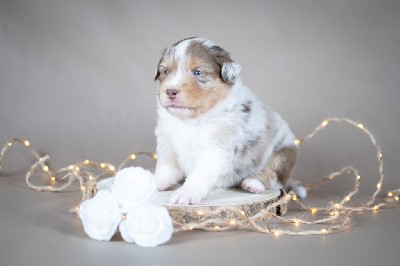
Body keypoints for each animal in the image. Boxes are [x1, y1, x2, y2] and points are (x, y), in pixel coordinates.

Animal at [155, 37, 298, 205]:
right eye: (166, 71)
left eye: (197, 72)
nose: (170, 91)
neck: (191, 121)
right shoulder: (167, 142)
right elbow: (166, 168)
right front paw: (152, 182)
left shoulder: (216, 147)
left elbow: (199, 173)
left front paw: (186, 193)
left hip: (284, 152)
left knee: (274, 174)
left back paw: (253, 183)